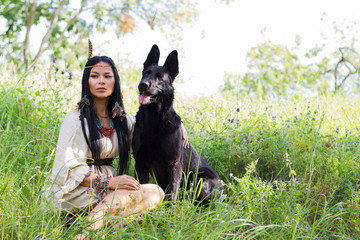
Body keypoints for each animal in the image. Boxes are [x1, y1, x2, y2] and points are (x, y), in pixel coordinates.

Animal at [132, 44, 222, 202]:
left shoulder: (174, 165)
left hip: (201, 180)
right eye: (146, 73)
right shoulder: (140, 163)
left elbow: (172, 194)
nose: (143, 85)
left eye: (160, 78)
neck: (154, 121)